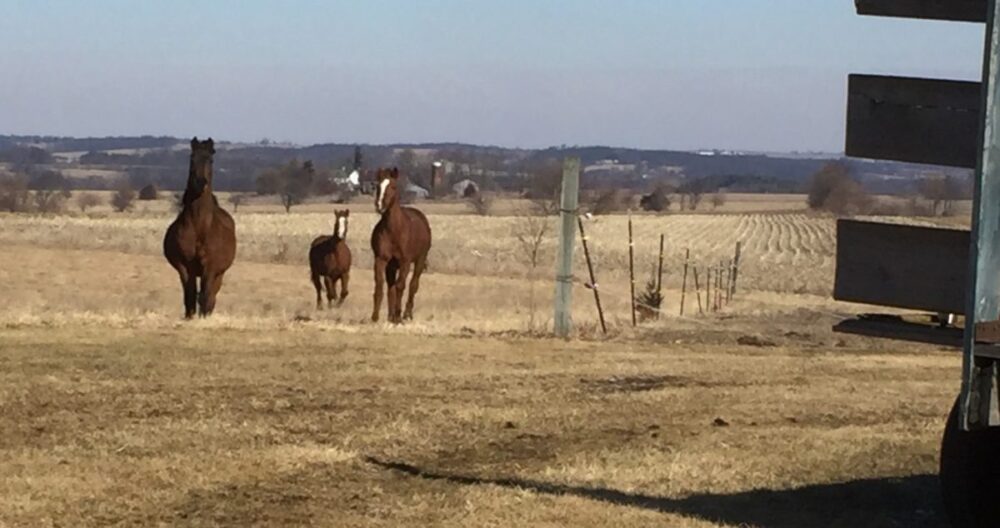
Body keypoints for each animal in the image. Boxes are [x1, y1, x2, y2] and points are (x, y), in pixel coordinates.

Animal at [163, 136, 237, 318]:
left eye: (210, 159)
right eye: (192, 158)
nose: (200, 183)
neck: (199, 227)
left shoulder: (210, 268)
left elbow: (205, 296)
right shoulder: (184, 266)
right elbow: (189, 295)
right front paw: (190, 317)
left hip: (220, 274)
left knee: (211, 297)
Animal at [370, 169, 428, 324]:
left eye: (393, 186)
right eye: (377, 186)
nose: (380, 205)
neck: (394, 230)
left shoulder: (405, 262)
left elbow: (401, 286)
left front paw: (398, 316)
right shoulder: (381, 259)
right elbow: (380, 285)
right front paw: (375, 316)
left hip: (420, 260)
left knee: (413, 285)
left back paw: (406, 314)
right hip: (391, 266)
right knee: (391, 287)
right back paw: (390, 316)